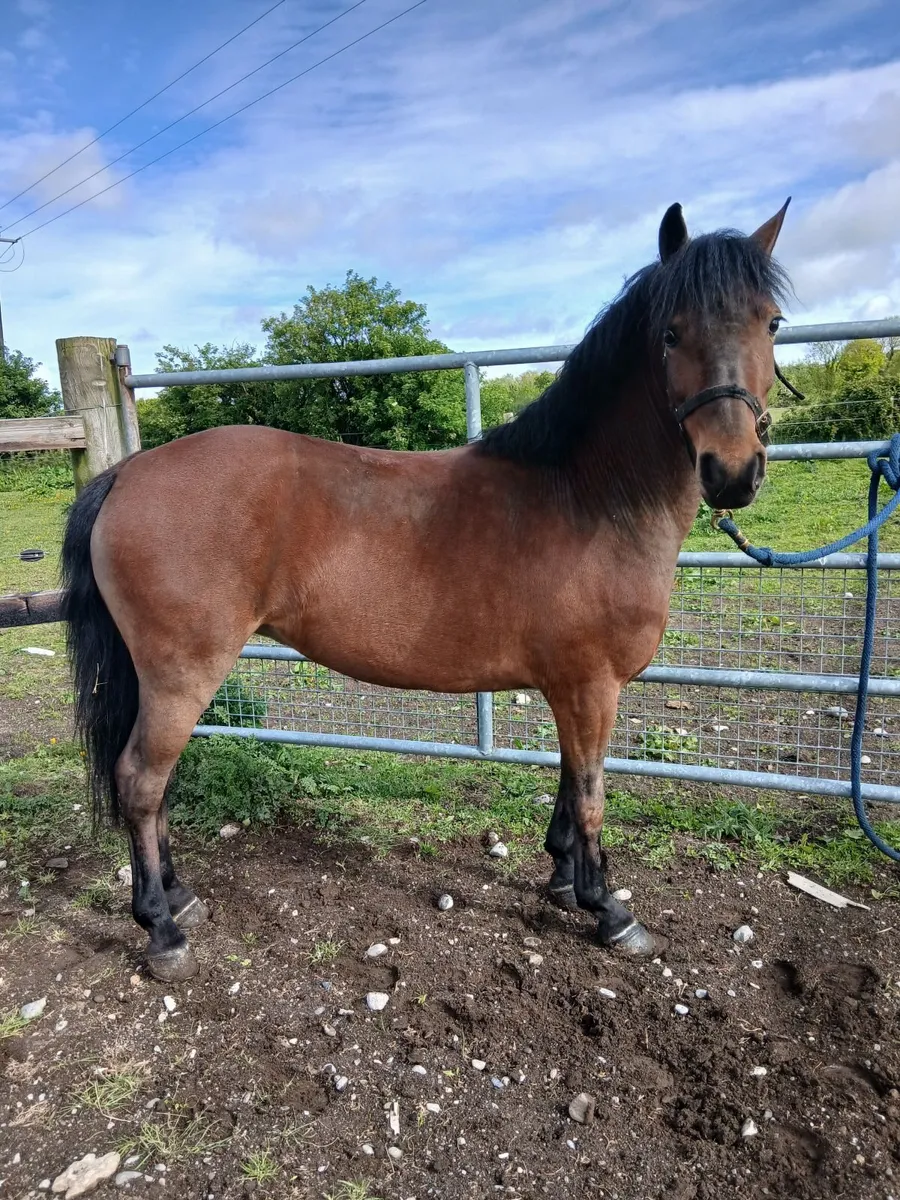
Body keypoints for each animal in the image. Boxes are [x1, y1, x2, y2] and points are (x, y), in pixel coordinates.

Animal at [61, 200, 792, 982]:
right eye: (670, 332)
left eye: (772, 323)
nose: (732, 471)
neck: (587, 497)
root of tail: (128, 474)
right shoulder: (593, 685)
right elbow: (593, 793)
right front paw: (609, 910)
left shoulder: (570, 686)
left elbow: (570, 781)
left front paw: (563, 880)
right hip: (180, 673)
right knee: (141, 780)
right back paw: (162, 929)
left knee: (154, 783)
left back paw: (180, 896)